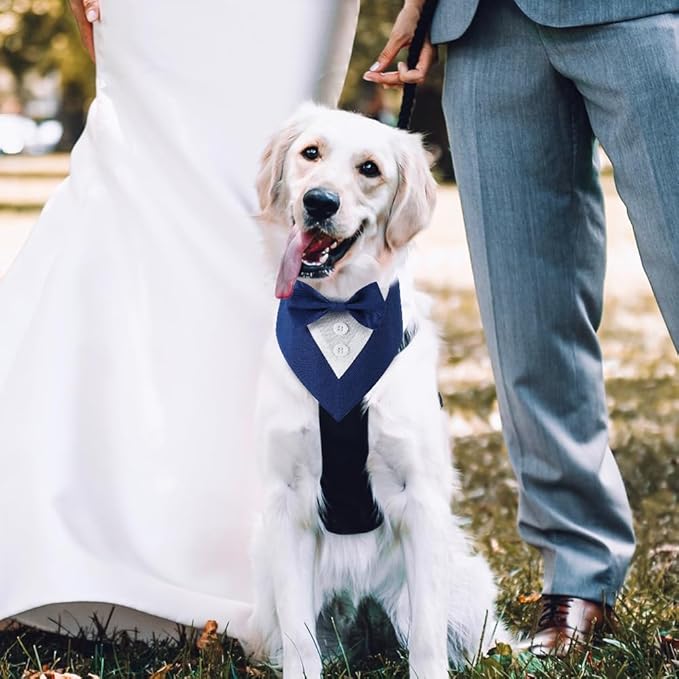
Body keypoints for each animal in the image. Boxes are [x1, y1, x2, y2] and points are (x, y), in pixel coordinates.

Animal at [247, 103, 508, 676]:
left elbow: (429, 641)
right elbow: (301, 641)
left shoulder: (422, 499)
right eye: (310, 153)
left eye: (370, 169)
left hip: (462, 585)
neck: (340, 311)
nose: (319, 201)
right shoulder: (285, 502)